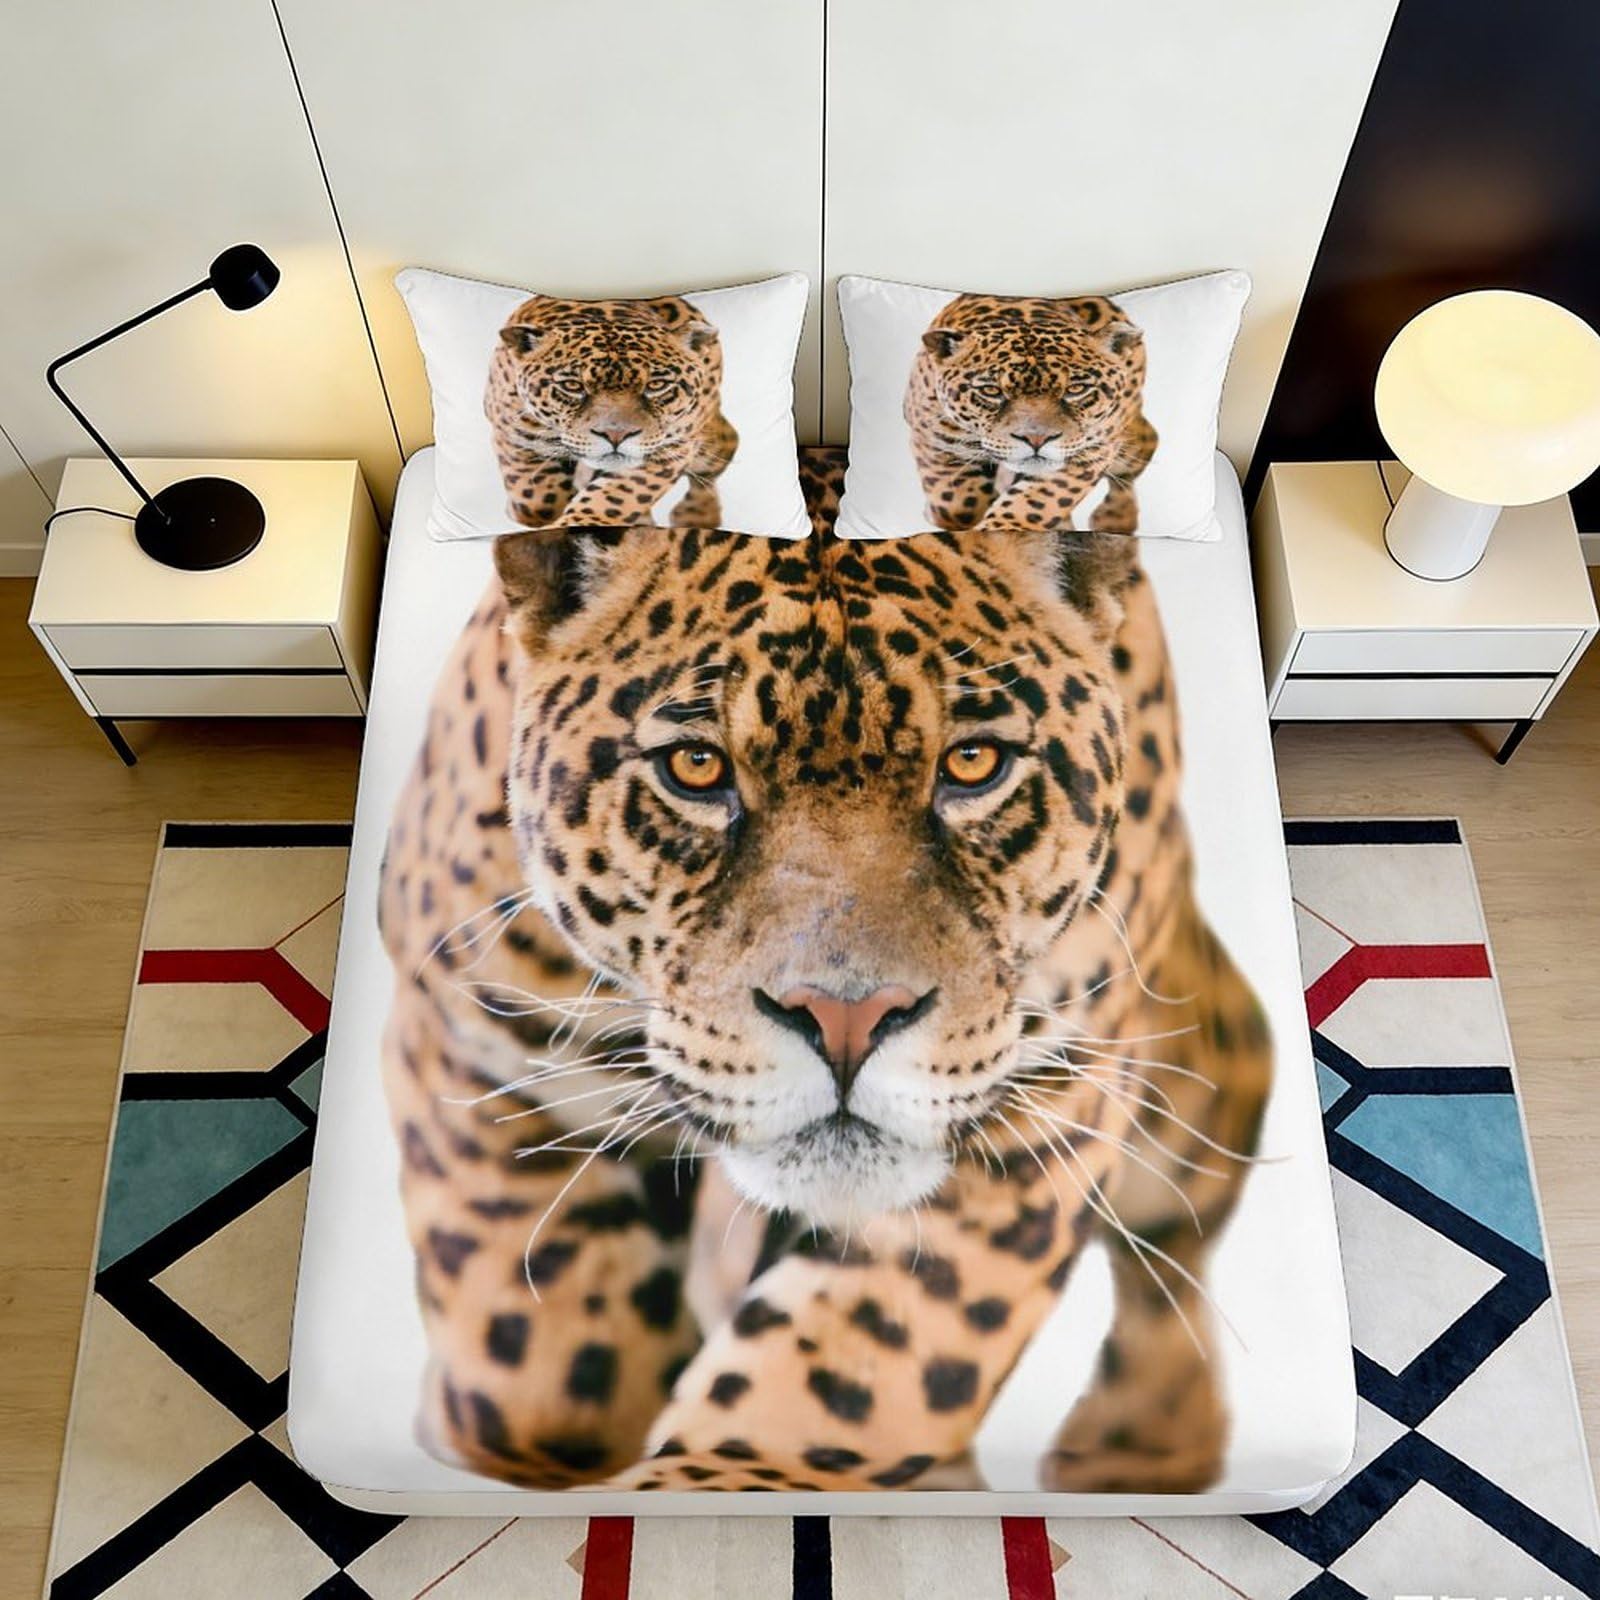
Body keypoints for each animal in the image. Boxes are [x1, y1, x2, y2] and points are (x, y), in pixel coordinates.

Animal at [376, 448, 1272, 1495]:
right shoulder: (479, 1051)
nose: (846, 1020)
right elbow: (542, 1363)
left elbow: (831, 1381)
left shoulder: (1042, 1111)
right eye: (695, 766)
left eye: (974, 763)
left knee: (1182, 1240)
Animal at [484, 293, 738, 531]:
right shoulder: (517, 437)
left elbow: (617, 496)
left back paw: (698, 514)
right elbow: (536, 501)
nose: (616, 435)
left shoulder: (668, 450)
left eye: (656, 385)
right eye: (572, 386)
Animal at [904, 293, 1158, 537]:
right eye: (991, 391)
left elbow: (1036, 503)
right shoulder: (937, 442)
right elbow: (957, 504)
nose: (1037, 439)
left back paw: (1115, 518)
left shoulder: (1090, 451)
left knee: (1147, 445)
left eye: (1076, 389)